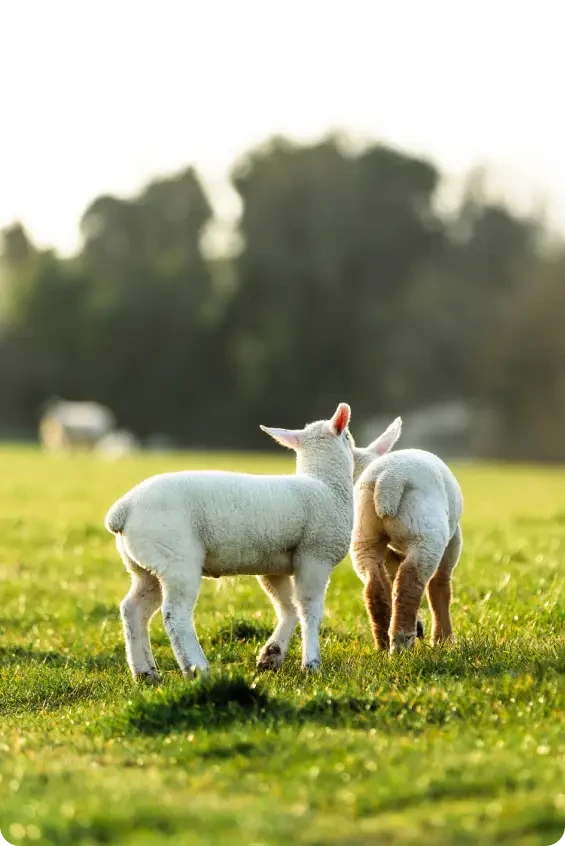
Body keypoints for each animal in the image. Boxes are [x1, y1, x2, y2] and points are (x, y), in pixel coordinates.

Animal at [104, 403, 355, 682]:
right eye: (347, 437)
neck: (326, 485)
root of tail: (122, 511)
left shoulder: (274, 566)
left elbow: (287, 607)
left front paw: (271, 655)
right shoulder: (316, 555)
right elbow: (309, 609)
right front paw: (311, 663)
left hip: (147, 566)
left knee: (133, 610)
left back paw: (145, 673)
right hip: (176, 559)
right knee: (174, 615)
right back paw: (196, 668)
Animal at [350, 417, 463, 654]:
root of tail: (386, 480)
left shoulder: (389, 553)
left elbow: (390, 579)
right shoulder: (453, 540)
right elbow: (440, 585)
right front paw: (443, 640)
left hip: (364, 537)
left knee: (374, 585)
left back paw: (383, 642)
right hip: (426, 536)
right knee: (410, 583)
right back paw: (402, 643)